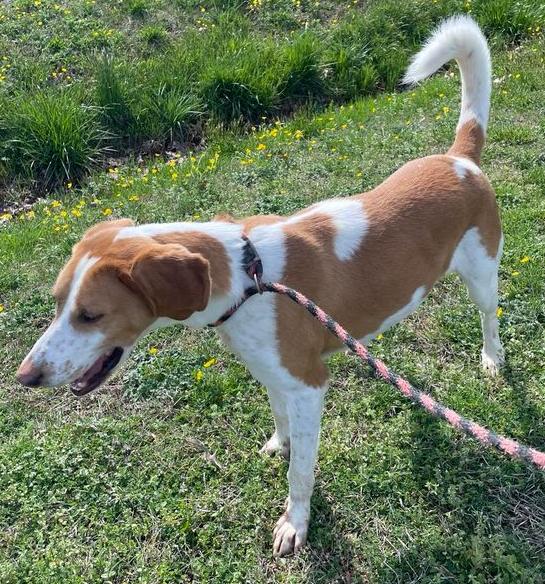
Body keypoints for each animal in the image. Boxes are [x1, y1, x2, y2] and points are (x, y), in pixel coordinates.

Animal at [17, 16, 503, 556]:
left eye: (91, 315)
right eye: (58, 303)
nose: (24, 377)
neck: (247, 275)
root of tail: (460, 159)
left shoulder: (309, 385)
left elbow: (301, 474)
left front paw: (295, 522)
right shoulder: (273, 373)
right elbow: (280, 420)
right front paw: (281, 443)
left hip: (483, 275)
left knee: (489, 316)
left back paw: (491, 359)